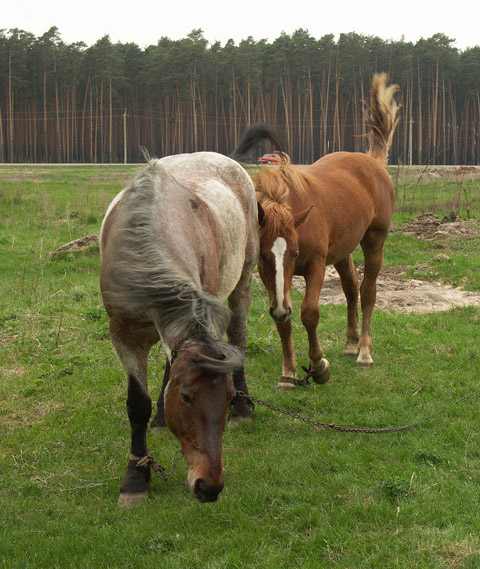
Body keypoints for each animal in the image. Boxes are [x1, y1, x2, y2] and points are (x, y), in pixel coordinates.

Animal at [99, 131, 280, 504]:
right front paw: (135, 479)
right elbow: (137, 404)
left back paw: (245, 412)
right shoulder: (123, 334)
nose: (209, 486)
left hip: (243, 279)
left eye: (226, 398)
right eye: (185, 397)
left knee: (238, 334)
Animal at [255, 73, 402, 388]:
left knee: (367, 291)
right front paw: (289, 372)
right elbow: (283, 320)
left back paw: (364, 353)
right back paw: (350, 343)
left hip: (374, 241)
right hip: (344, 249)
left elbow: (309, 313)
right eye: (262, 255)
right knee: (351, 287)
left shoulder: (315, 264)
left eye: (295, 252)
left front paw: (318, 365)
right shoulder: (271, 278)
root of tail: (372, 162)